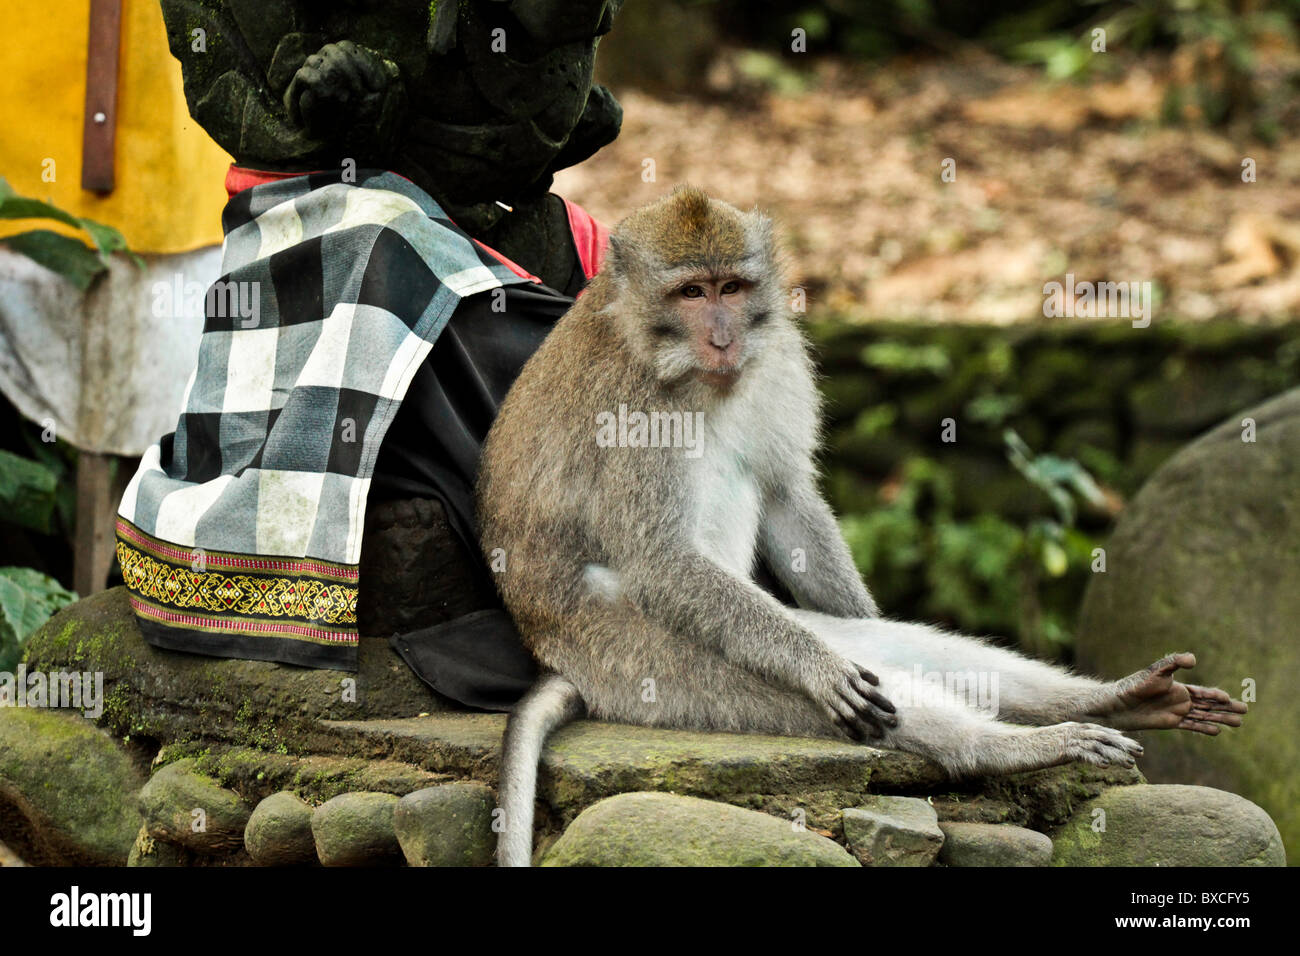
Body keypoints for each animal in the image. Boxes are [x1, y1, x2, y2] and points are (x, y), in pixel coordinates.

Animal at [475, 184, 1237, 868]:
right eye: (690, 294)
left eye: (730, 288)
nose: (722, 336)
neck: (677, 363)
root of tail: (558, 658)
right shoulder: (630, 410)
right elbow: (661, 557)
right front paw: (817, 669)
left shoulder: (776, 355)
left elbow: (785, 492)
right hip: (644, 664)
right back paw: (1005, 748)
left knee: (893, 649)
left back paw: (1121, 699)